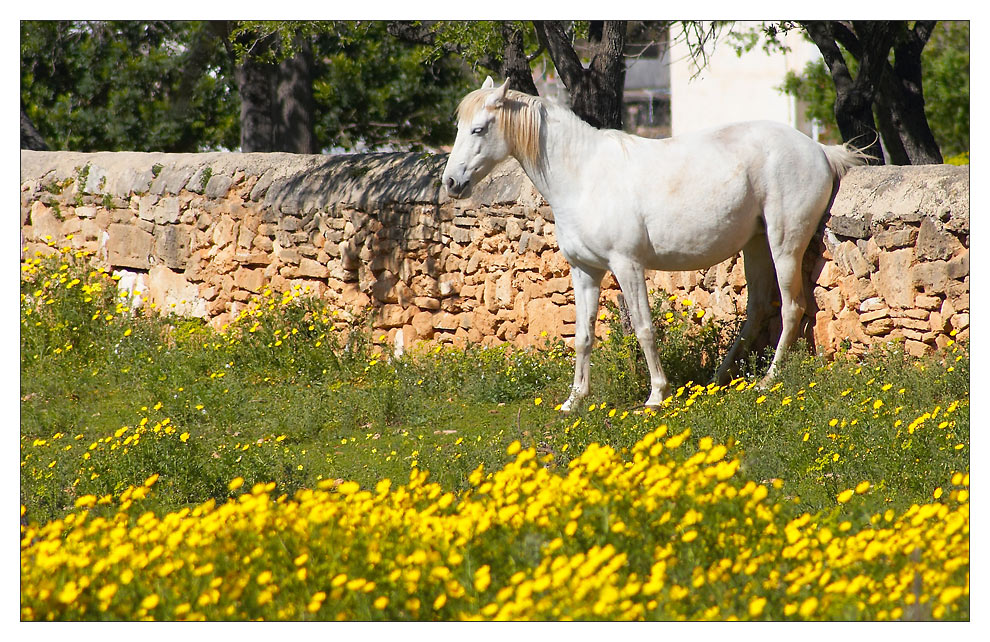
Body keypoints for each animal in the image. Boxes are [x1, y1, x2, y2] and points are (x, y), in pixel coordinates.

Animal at [442, 77, 868, 410]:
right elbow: (582, 336)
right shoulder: (585, 272)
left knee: (792, 307)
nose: (450, 182)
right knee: (760, 308)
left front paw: (656, 395)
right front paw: (574, 400)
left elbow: (645, 329)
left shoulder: (627, 266)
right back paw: (718, 378)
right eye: (459, 128)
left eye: (479, 129)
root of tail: (819, 150)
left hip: (784, 244)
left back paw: (767, 379)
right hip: (757, 245)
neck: (584, 176)